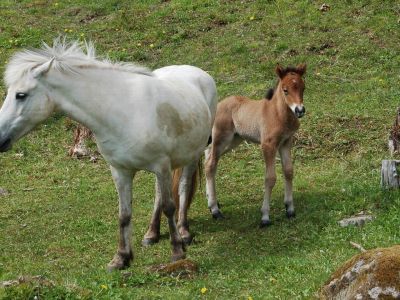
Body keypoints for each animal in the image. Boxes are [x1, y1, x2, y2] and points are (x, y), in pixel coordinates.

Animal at [0, 38, 217, 270]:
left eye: (21, 95)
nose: (0, 137)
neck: (121, 111)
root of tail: (199, 73)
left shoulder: (161, 166)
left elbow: (169, 206)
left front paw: (177, 251)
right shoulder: (121, 171)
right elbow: (124, 214)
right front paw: (121, 258)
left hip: (191, 155)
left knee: (183, 186)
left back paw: (184, 232)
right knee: (159, 193)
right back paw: (151, 234)